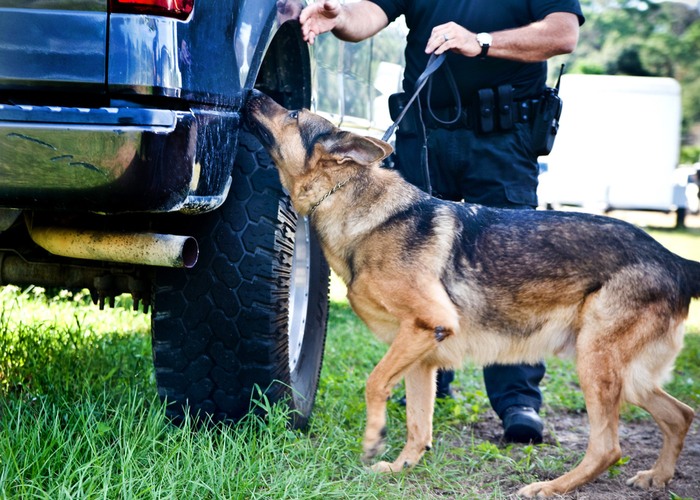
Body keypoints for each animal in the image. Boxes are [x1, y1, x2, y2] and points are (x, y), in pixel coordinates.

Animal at [243, 92, 696, 498]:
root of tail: (672, 258)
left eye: (294, 112)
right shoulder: (421, 354)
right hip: (626, 376)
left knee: (608, 447)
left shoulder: (427, 325)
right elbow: (418, 425)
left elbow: (374, 384)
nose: (250, 92)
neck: (350, 196)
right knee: (681, 414)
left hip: (595, 363)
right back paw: (658, 476)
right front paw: (402, 467)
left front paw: (373, 440)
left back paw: (551, 487)